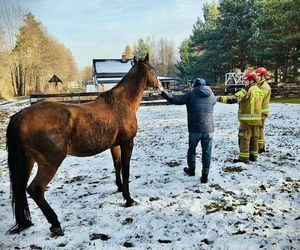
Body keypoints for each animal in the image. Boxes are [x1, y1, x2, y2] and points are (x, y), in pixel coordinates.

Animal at [5, 53, 161, 235]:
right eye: (152, 70)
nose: (159, 86)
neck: (121, 103)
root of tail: (20, 115)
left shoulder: (114, 145)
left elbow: (117, 166)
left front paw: (120, 189)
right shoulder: (127, 143)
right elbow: (126, 170)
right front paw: (129, 199)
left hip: (28, 161)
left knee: (21, 189)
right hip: (51, 162)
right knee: (35, 189)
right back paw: (56, 223)